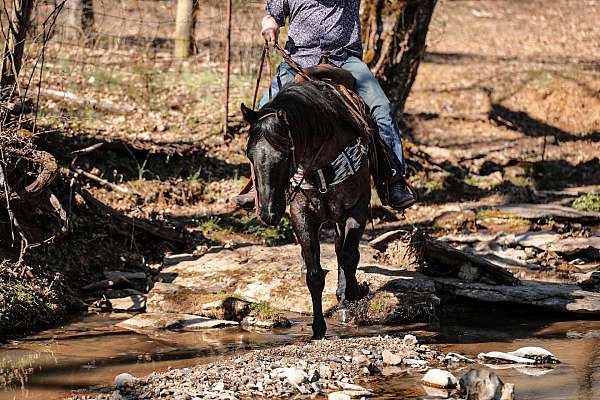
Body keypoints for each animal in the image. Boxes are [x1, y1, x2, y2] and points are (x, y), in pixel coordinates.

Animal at [241, 79, 372, 340]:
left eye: (284, 156)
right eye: (249, 154)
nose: (268, 213)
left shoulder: (358, 207)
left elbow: (350, 256)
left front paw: (352, 296)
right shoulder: (301, 216)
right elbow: (314, 274)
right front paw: (318, 328)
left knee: (344, 252)